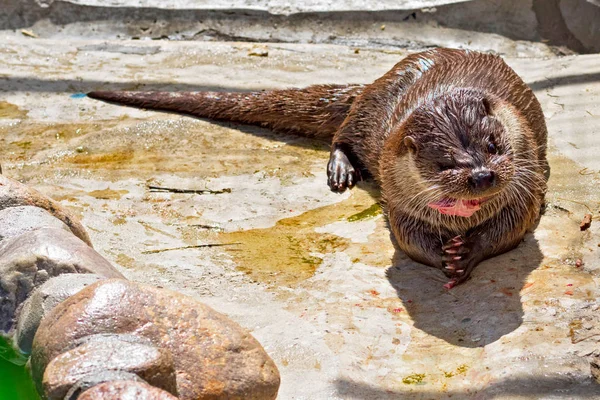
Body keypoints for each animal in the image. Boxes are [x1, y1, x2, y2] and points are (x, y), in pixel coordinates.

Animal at [89, 48, 548, 290]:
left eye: (492, 145)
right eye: (444, 163)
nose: (482, 175)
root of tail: (375, 82)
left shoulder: (526, 187)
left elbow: (508, 229)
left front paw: (466, 253)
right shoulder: (399, 196)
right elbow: (408, 238)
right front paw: (444, 256)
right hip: (370, 116)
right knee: (342, 135)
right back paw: (341, 170)